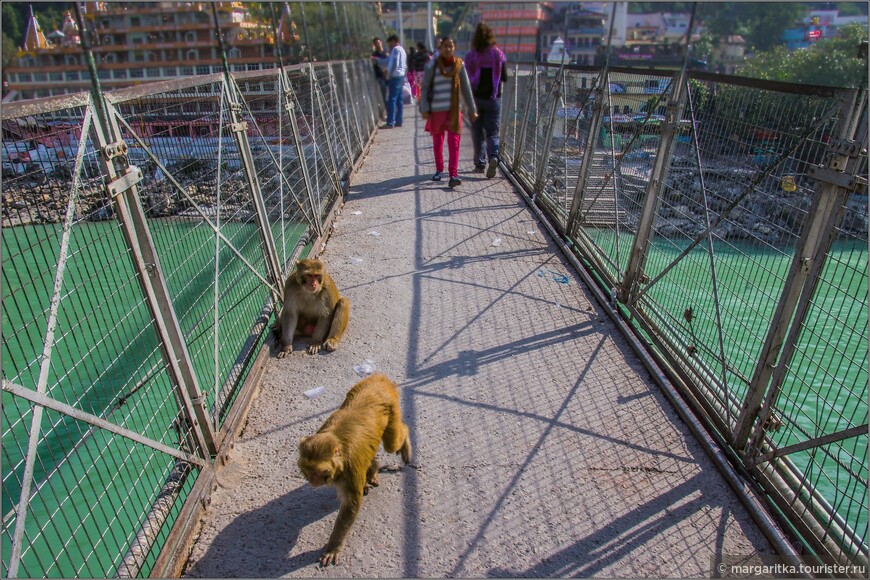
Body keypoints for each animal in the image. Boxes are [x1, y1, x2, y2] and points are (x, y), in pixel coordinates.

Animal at [300, 372, 416, 568]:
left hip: (392, 406)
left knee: (392, 443)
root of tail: (379, 378)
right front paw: (371, 474)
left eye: (317, 472)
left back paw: (405, 442)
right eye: (307, 471)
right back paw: (373, 471)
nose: (312, 481)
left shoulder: (350, 468)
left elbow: (350, 505)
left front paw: (333, 547)